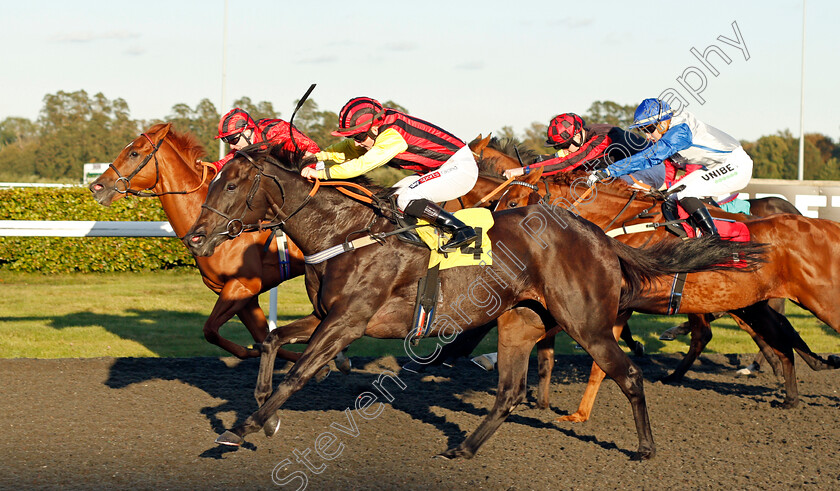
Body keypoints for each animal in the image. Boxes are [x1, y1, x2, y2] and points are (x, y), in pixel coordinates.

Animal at [87, 124, 342, 376]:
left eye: (134, 153)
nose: (96, 187)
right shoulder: (240, 294)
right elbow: (259, 335)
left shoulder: (243, 285)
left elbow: (211, 329)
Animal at [184, 143, 768, 462]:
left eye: (232, 184)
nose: (195, 238)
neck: (346, 232)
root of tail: (600, 237)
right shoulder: (329, 317)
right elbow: (273, 340)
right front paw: (262, 415)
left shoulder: (349, 322)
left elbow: (300, 372)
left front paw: (242, 429)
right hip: (520, 320)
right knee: (508, 392)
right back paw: (462, 447)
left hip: (587, 323)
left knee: (628, 374)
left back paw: (646, 448)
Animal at [472, 138, 840, 418]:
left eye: (514, 202)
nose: (496, 241)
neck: (623, 223)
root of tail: (828, 226)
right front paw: (577, 412)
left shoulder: (604, 303)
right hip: (754, 301)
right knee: (776, 334)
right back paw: (790, 391)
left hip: (820, 300)